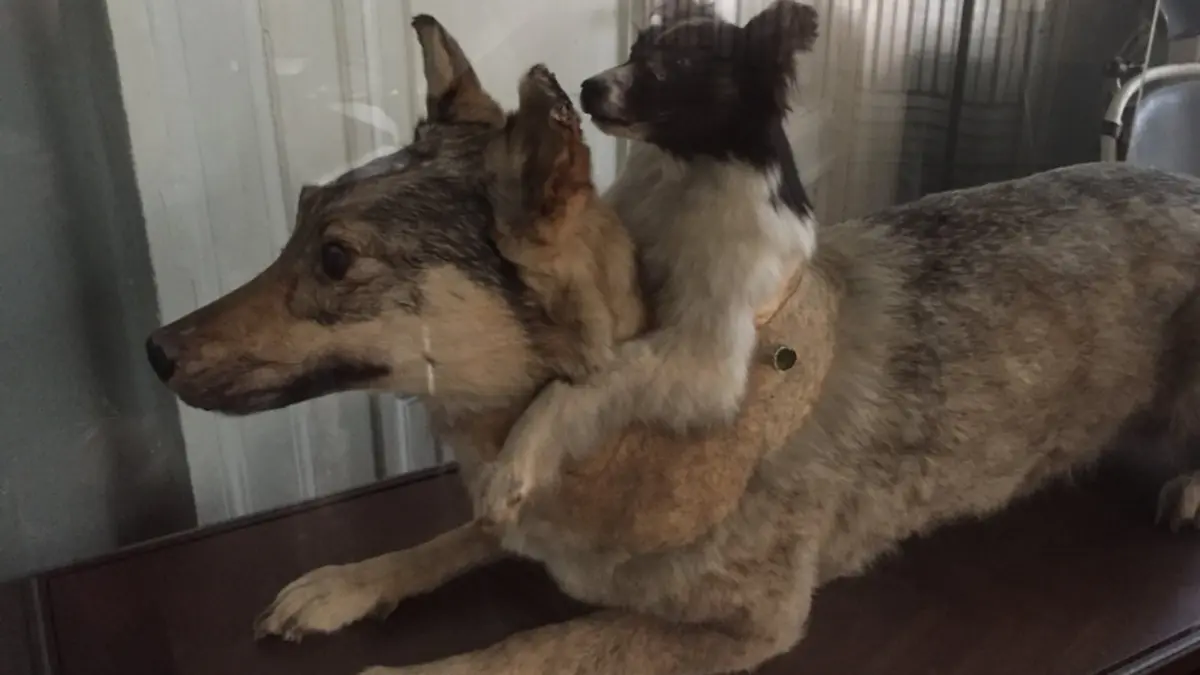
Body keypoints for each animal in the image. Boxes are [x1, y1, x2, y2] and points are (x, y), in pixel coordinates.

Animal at [477, 0, 822, 526]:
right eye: (636, 49)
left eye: (677, 65)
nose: (587, 87)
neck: (687, 172)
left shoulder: (704, 355)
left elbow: (577, 386)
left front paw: (512, 467)